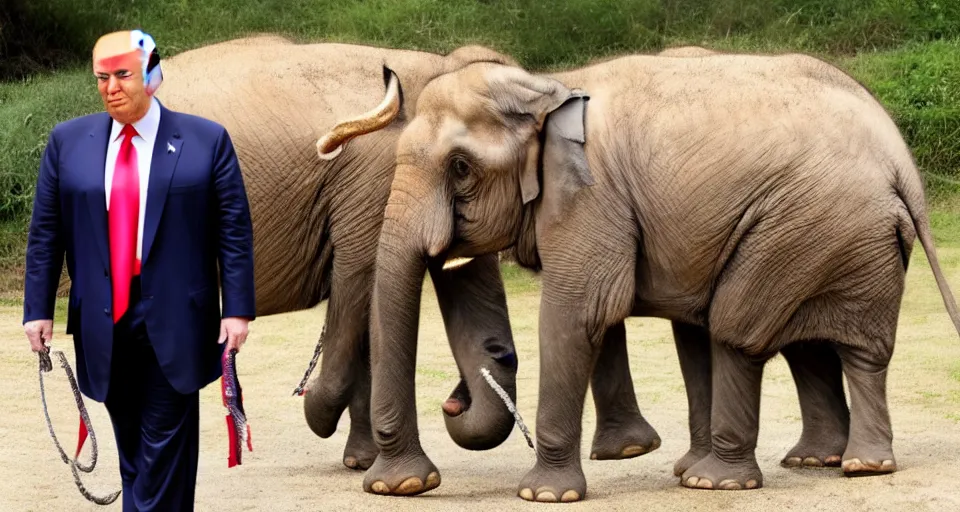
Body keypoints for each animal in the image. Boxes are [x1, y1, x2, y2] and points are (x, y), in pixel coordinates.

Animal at [316, 43, 960, 500]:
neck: (547, 88)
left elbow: (578, 311)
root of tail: (899, 158)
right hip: (836, 237)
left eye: (460, 167)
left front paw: (542, 495)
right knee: (802, 343)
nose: (452, 402)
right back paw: (791, 464)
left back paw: (808, 472)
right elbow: (604, 317)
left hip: (810, 223)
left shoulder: (590, 195)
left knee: (746, 328)